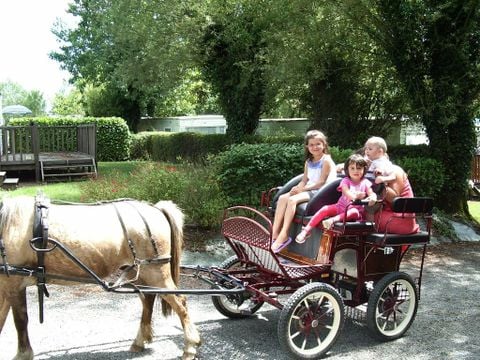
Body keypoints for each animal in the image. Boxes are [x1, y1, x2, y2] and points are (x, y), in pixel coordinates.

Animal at [0, 197, 201, 360]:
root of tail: (156, 208)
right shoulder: (6, 285)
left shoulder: (14, 283)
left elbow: (20, 320)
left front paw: (23, 354)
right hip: (140, 272)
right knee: (148, 300)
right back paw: (139, 341)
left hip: (156, 272)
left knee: (180, 302)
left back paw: (190, 346)